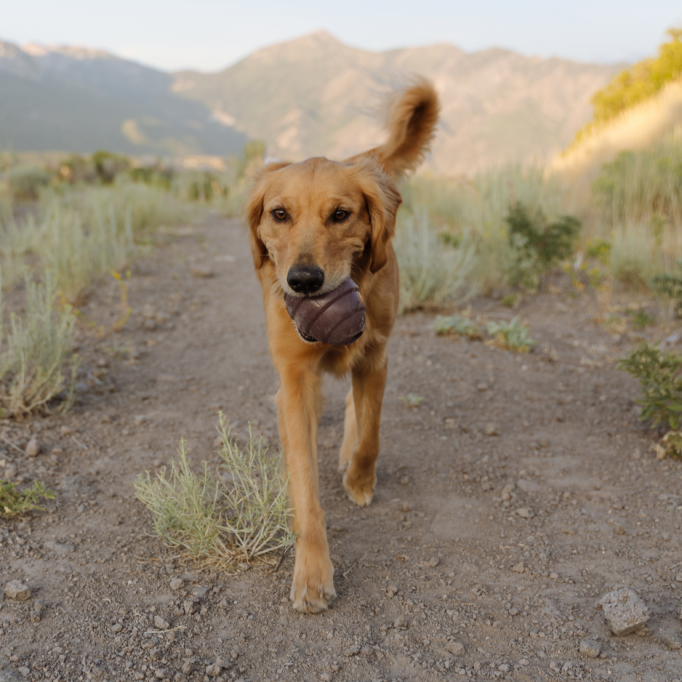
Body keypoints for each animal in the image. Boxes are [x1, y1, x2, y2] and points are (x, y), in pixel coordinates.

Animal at [247, 79, 438, 612]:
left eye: (340, 214)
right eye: (279, 214)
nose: (304, 281)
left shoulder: (375, 355)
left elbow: (372, 432)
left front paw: (359, 478)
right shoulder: (293, 382)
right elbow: (304, 484)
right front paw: (313, 573)